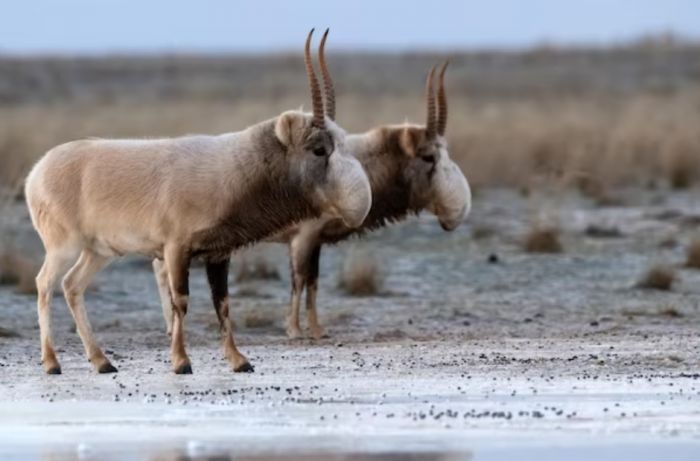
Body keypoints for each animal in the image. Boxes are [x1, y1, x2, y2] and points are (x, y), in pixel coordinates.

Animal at [23, 29, 370, 374]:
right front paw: (181, 361)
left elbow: (223, 302)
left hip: (98, 251)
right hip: (64, 246)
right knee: (44, 284)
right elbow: (181, 299)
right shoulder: (175, 250)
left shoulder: (218, 254)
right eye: (319, 149)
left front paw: (238, 360)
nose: (359, 205)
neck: (234, 167)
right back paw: (52, 362)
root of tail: (36, 173)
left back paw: (101, 361)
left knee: (72, 285)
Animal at [157, 36, 474, 340]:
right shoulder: (303, 237)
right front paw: (295, 330)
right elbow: (299, 280)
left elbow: (314, 282)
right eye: (428, 156)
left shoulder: (317, 241)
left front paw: (318, 330)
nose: (456, 210)